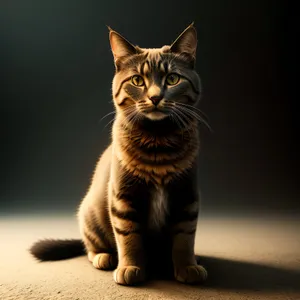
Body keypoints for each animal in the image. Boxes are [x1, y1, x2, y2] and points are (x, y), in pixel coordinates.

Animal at [30, 23, 209, 286]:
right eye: (137, 80)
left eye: (172, 79)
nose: (155, 97)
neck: (158, 141)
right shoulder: (123, 198)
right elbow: (128, 237)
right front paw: (130, 267)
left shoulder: (186, 196)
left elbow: (185, 237)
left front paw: (188, 266)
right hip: (90, 211)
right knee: (90, 246)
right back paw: (103, 257)